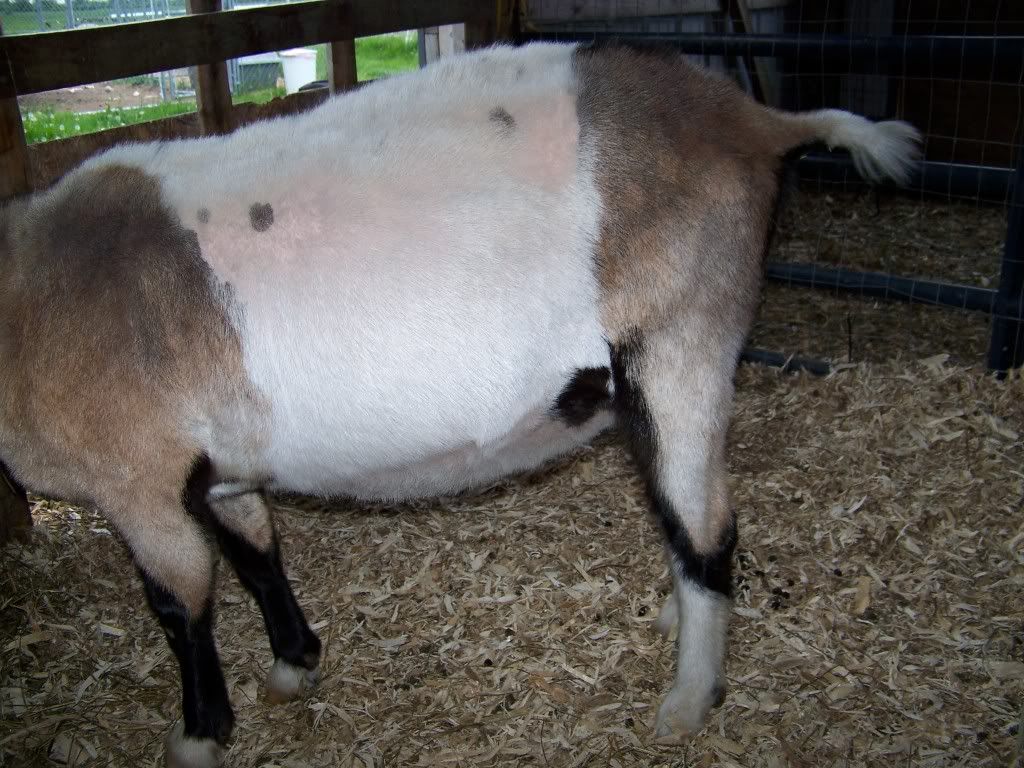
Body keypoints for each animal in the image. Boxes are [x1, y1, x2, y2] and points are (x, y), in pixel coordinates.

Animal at [0, 41, 919, 768]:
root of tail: (753, 120)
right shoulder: (219, 469)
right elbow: (257, 553)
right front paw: (296, 664)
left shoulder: (136, 479)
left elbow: (179, 602)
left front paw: (197, 736)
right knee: (679, 509)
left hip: (683, 332)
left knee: (707, 524)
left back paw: (689, 700)